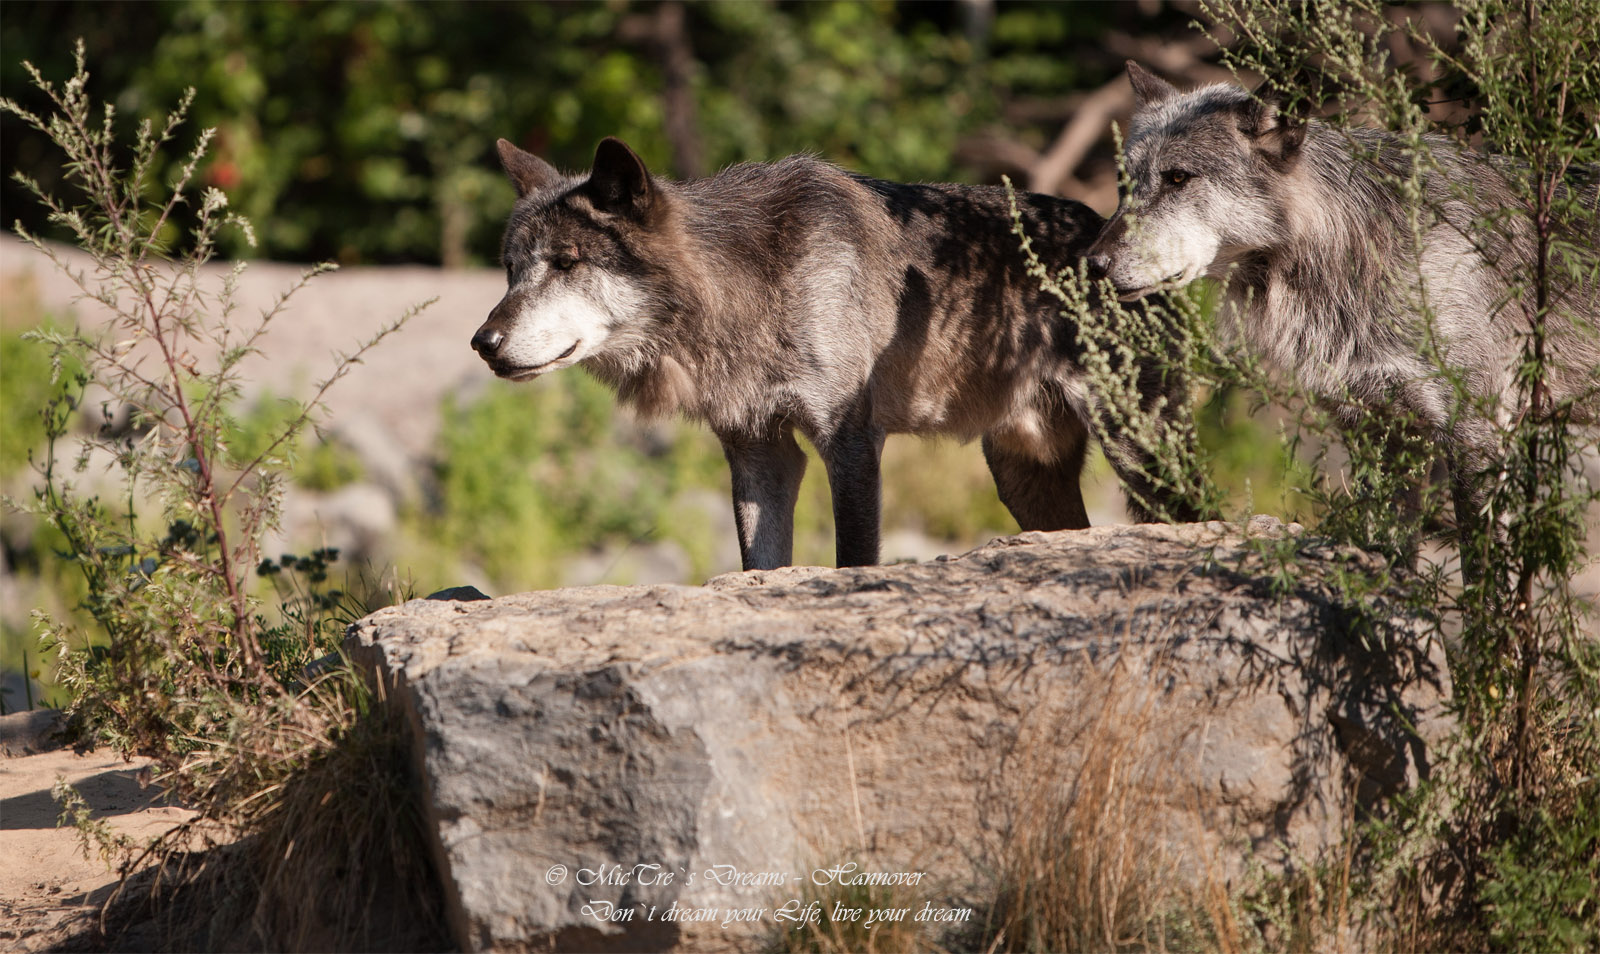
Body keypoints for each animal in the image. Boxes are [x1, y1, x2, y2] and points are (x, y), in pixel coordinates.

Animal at [470, 134, 1203, 566]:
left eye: (566, 262)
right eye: (511, 269)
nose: (483, 343)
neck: (751, 286)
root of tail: (1109, 241)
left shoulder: (850, 443)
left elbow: (852, 556)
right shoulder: (760, 454)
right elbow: (759, 564)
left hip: (1139, 455)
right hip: (1025, 480)